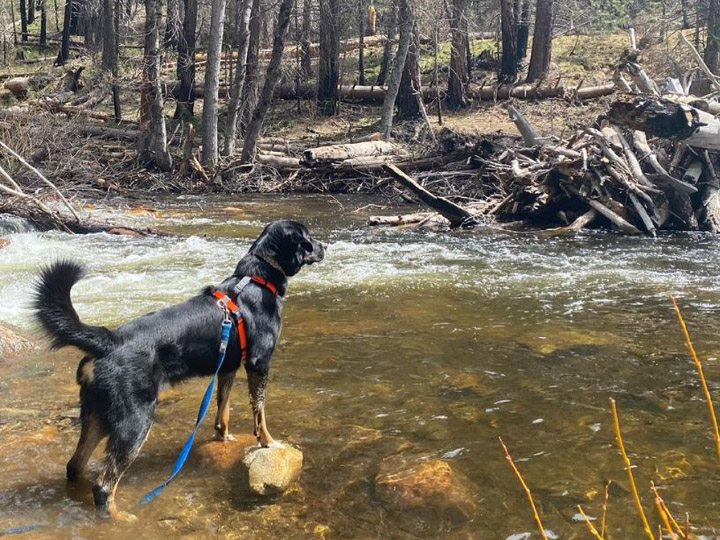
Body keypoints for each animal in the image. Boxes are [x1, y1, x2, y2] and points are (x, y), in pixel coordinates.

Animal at [33, 220, 326, 520]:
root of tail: (110, 339)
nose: (325, 246)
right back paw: (121, 516)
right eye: (308, 238)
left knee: (74, 466)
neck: (257, 279)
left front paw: (223, 437)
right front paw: (267, 441)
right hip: (135, 419)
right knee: (103, 484)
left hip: (96, 414)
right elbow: (259, 412)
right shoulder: (258, 362)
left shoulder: (227, 367)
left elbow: (223, 410)